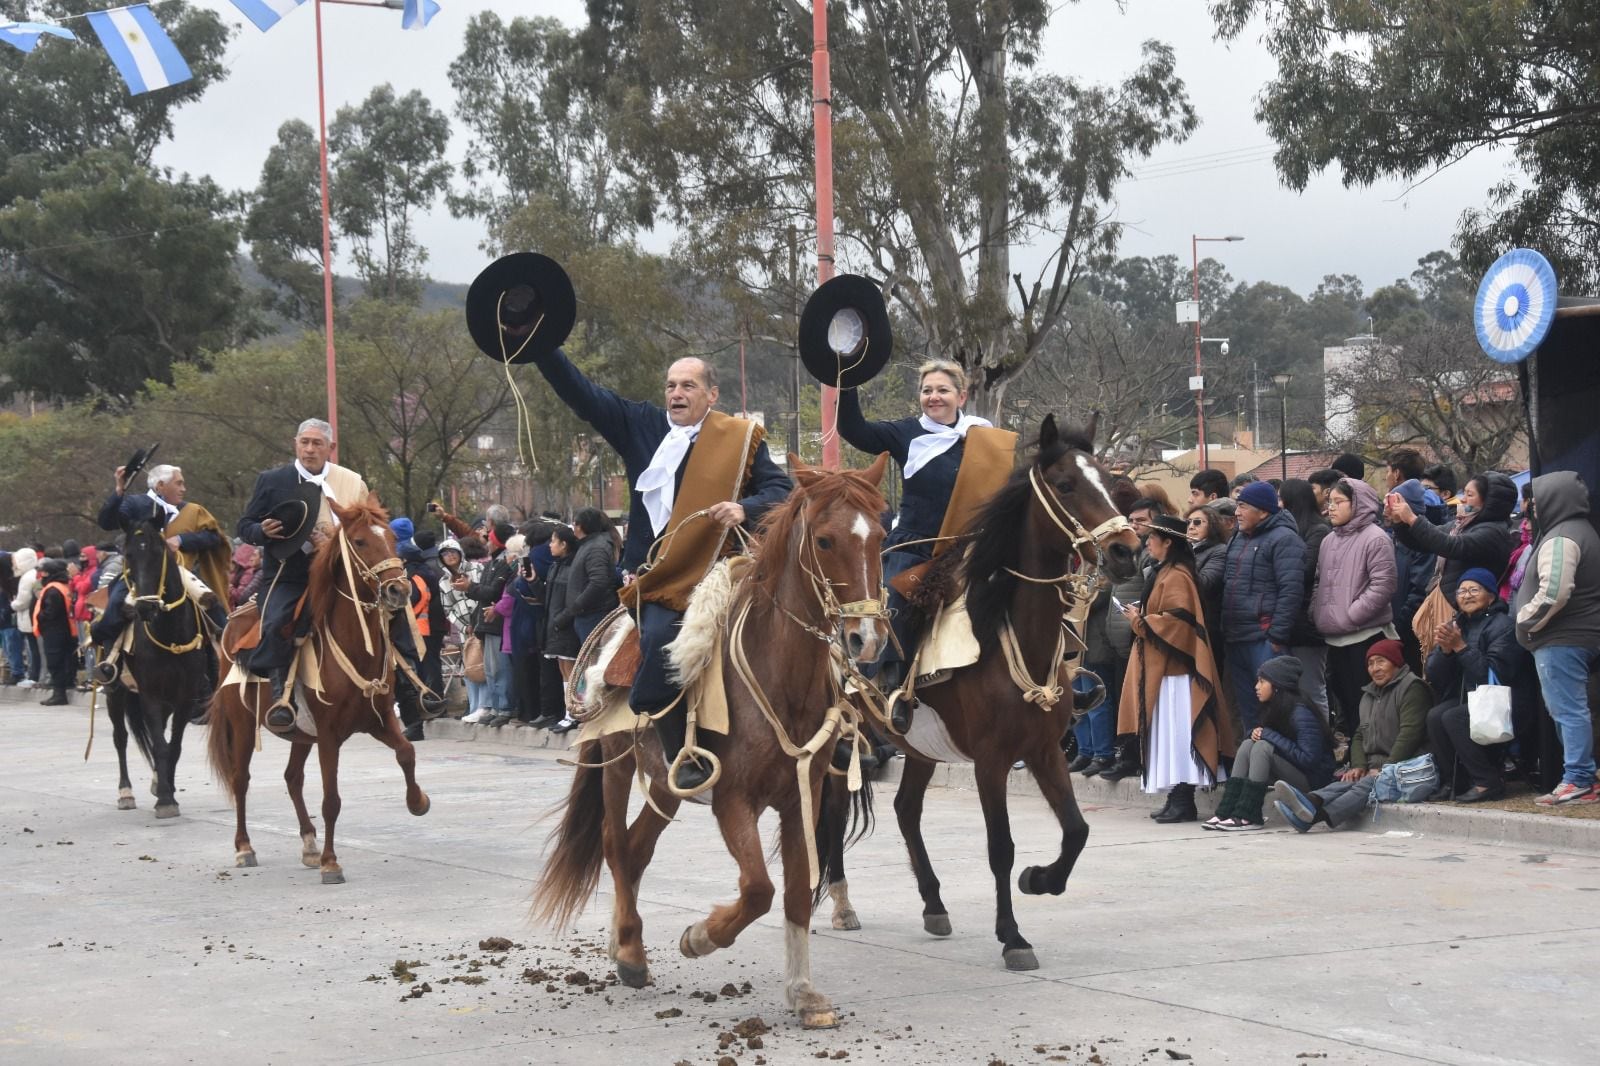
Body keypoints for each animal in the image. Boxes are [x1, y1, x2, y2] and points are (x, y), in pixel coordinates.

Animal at [208, 496, 432, 877]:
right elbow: (331, 800)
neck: (354, 646)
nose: (399, 590)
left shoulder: (380, 720)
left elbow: (406, 753)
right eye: (359, 541)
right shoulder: (329, 734)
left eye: (390, 537)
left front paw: (418, 801)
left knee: (292, 777)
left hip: (300, 733)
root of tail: (233, 620)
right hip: (242, 724)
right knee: (241, 779)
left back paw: (309, 844)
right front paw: (331, 863)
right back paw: (244, 847)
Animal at [534, 451, 889, 1024]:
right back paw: (630, 953)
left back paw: (625, 944)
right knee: (615, 845)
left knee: (637, 849)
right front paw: (700, 937)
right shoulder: (733, 798)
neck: (780, 677)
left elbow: (795, 889)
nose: (867, 638)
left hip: (665, 783)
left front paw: (802, 992)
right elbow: (759, 888)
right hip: (618, 762)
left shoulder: (804, 794)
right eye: (824, 540)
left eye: (879, 535)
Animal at [825, 412, 1139, 973]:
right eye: (1065, 484)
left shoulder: (1043, 751)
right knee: (835, 809)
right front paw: (1013, 936)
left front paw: (1041, 880)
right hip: (844, 739)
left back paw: (933, 903)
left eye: (1110, 482)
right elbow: (1001, 847)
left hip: (918, 746)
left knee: (906, 809)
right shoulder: (992, 761)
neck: (1008, 635)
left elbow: (1077, 830)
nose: (1126, 551)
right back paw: (842, 903)